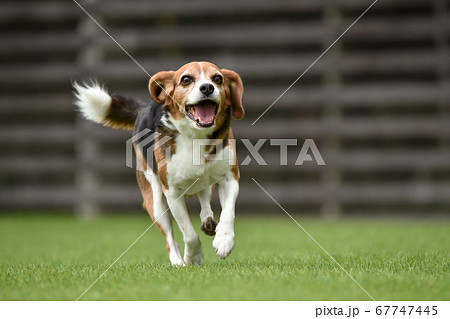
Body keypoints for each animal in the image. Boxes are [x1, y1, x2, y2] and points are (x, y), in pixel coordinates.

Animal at [72, 61, 244, 266]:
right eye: (186, 80)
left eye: (217, 78)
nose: (207, 88)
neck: (195, 136)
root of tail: (145, 106)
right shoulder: (172, 192)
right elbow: (188, 233)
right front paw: (193, 257)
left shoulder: (230, 179)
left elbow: (228, 213)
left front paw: (224, 241)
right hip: (155, 201)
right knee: (170, 238)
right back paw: (178, 262)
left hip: (203, 184)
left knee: (204, 200)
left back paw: (208, 221)